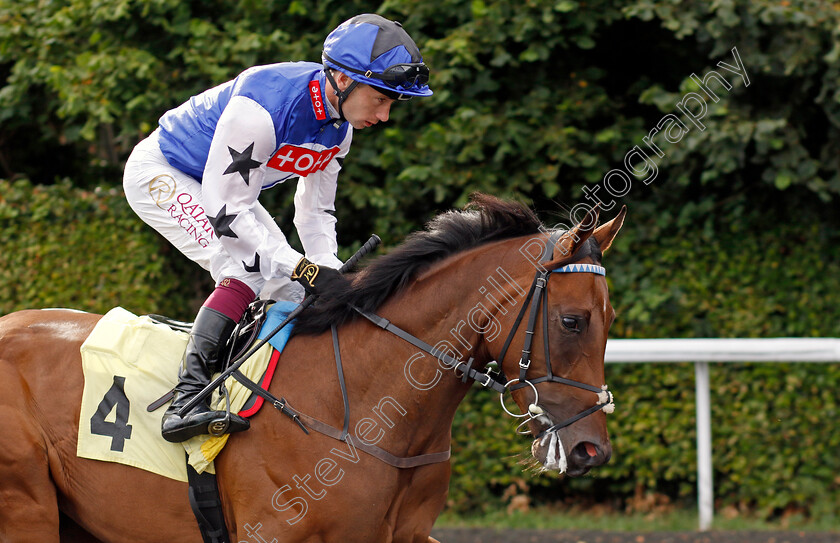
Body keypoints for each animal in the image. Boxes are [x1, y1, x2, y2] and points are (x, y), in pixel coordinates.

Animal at [0, 196, 624, 543]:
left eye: (610, 318)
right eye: (572, 321)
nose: (592, 448)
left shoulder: (407, 534)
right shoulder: (270, 533)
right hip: (27, 509)